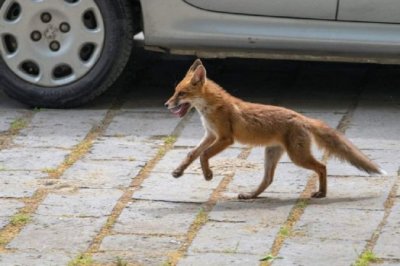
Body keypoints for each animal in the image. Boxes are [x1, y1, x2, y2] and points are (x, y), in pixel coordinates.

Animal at [164, 59, 386, 198]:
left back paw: (322, 193)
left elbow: (203, 156)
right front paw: (178, 171)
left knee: (322, 167)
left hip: (297, 157)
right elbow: (192, 154)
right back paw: (250, 195)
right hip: (271, 154)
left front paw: (208, 175)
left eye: (181, 94)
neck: (211, 108)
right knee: (268, 180)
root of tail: (302, 117)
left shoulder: (225, 138)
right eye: (174, 91)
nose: (166, 104)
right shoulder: (210, 135)